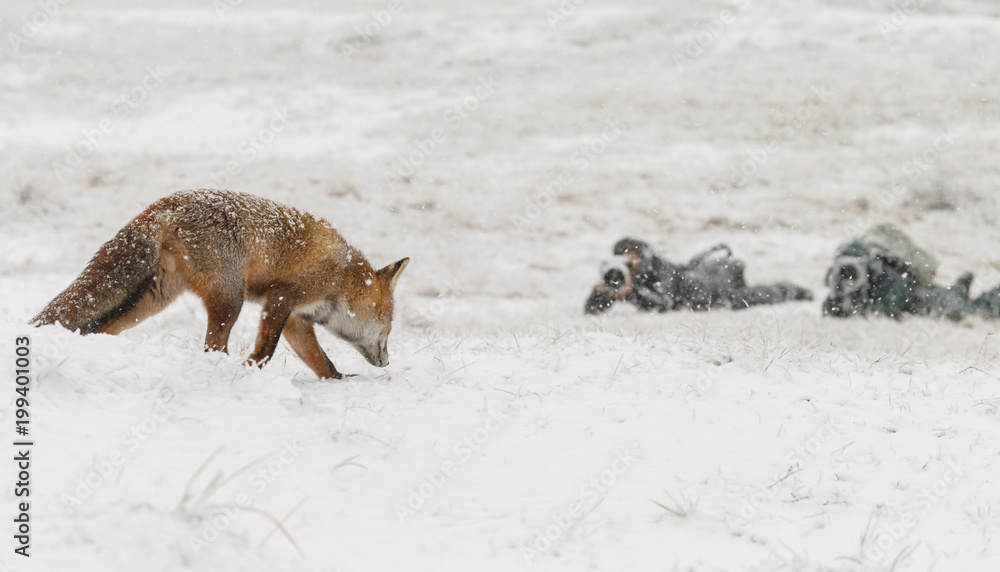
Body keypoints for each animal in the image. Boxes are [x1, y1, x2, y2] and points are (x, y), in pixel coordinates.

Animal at [31, 189, 410, 379]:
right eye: (388, 330)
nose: (387, 362)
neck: (342, 276)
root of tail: (164, 204)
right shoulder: (284, 294)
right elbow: (268, 348)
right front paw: (251, 369)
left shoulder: (297, 320)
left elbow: (321, 361)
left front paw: (338, 381)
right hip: (230, 299)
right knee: (213, 346)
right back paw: (220, 369)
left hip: (152, 299)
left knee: (101, 327)